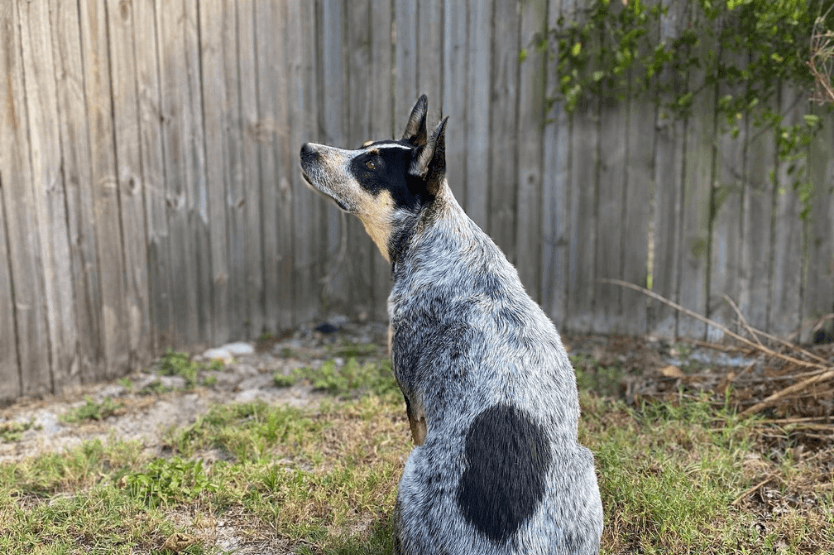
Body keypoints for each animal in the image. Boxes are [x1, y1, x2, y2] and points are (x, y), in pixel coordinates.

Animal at [300, 96, 600, 555]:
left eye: (369, 165)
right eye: (363, 147)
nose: (305, 148)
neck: (435, 240)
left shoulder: (412, 398)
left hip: (412, 474)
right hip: (587, 467)